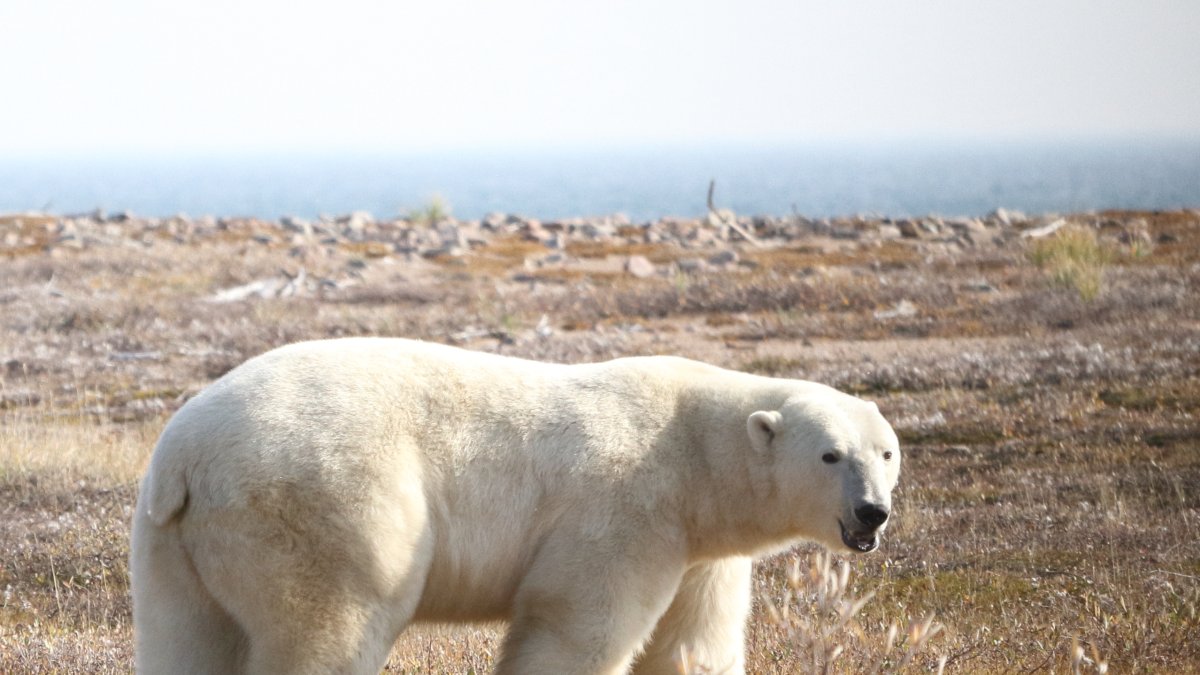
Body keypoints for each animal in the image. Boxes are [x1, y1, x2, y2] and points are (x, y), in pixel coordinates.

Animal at [131, 337, 900, 675]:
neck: (691, 449)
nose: (872, 513)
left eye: (887, 453)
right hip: (323, 504)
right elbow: (579, 628)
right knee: (331, 626)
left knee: (187, 639)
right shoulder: (625, 511)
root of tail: (186, 457)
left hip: (173, 544)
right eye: (831, 454)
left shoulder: (701, 551)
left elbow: (692, 644)